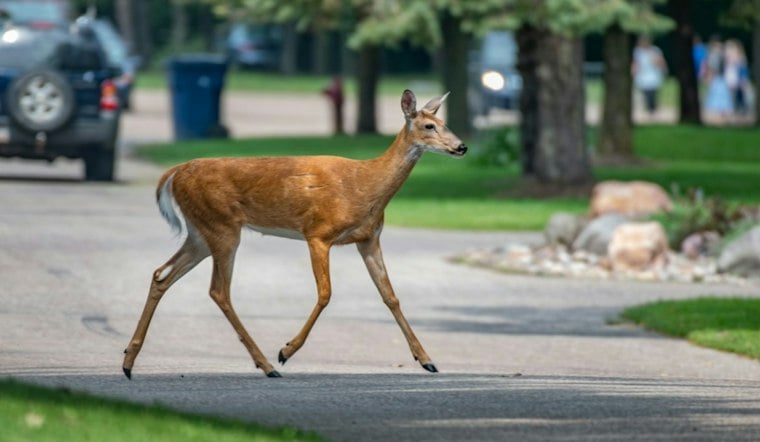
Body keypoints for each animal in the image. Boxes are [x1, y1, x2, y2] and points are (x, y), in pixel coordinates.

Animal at [122, 89, 467, 379]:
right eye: (428, 126)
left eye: (445, 123)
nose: (461, 146)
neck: (365, 185)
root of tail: (174, 173)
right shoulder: (318, 233)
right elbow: (326, 293)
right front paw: (286, 350)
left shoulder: (369, 238)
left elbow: (390, 296)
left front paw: (427, 360)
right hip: (221, 227)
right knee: (218, 290)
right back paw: (268, 364)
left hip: (200, 233)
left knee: (162, 274)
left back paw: (128, 361)